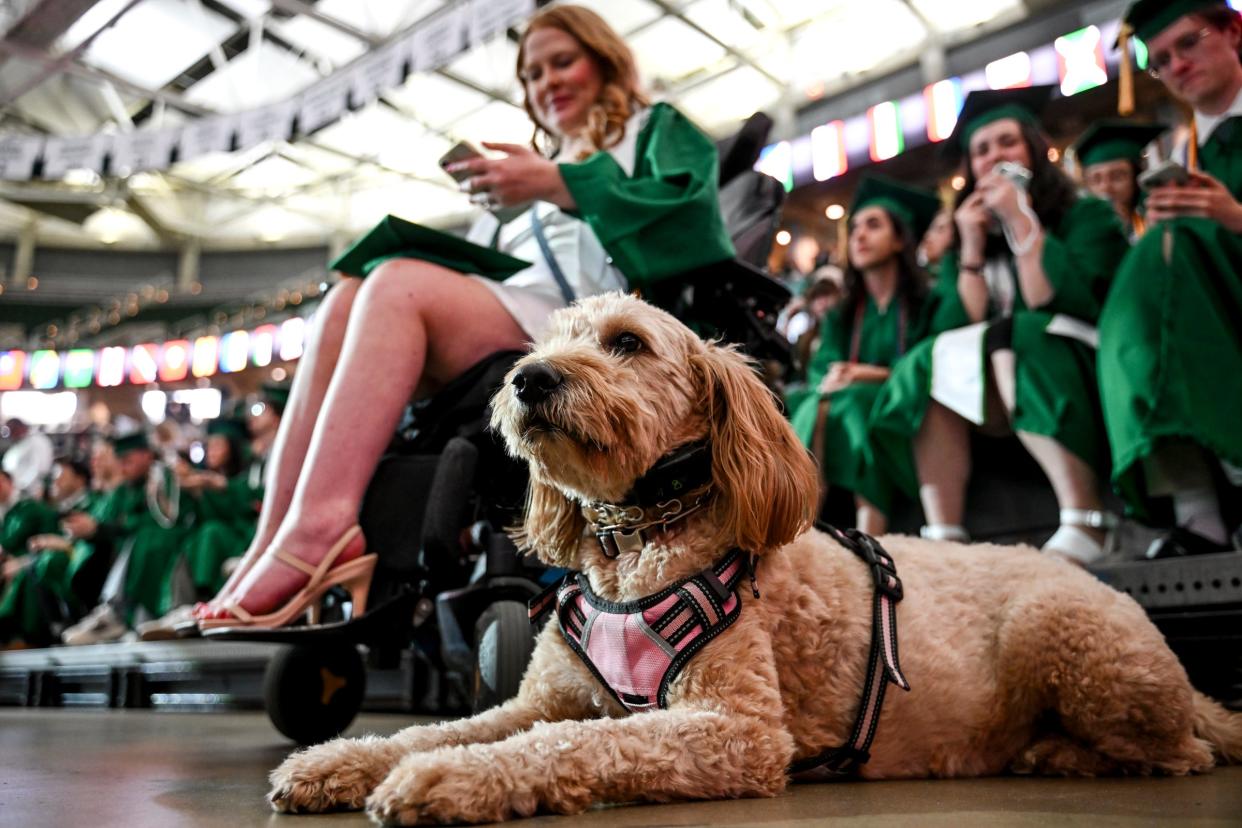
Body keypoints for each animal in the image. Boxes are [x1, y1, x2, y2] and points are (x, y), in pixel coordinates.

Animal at [271, 291, 1242, 824]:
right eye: (548, 344)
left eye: (626, 343)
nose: (529, 378)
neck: (638, 544)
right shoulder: (540, 697)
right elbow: (453, 725)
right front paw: (338, 762)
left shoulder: (734, 730)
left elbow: (574, 745)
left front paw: (447, 780)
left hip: (1068, 638)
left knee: (1183, 753)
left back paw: (1058, 757)